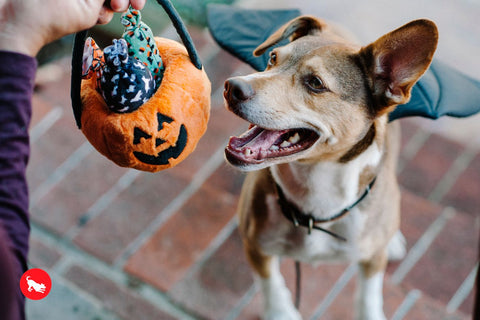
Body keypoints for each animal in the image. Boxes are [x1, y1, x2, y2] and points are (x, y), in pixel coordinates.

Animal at [223, 15, 436, 320]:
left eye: (315, 83)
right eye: (273, 58)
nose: (232, 87)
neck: (315, 184)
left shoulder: (372, 259)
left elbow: (369, 295)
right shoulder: (256, 245)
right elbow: (271, 282)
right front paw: (280, 312)